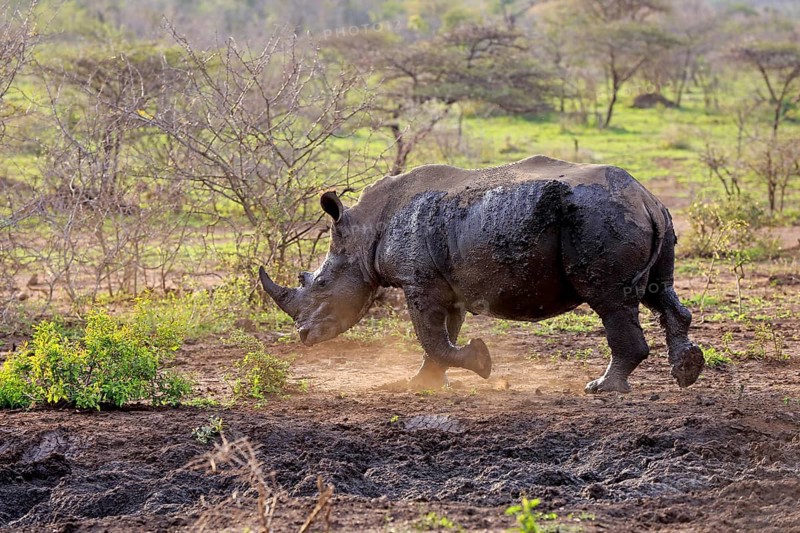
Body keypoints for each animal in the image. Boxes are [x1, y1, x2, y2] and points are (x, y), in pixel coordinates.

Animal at [259, 156, 704, 393]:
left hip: (601, 217)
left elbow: (433, 337)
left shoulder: (418, 282)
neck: (363, 230)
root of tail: (646, 198)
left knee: (610, 301)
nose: (303, 336)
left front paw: (481, 363)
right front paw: (423, 384)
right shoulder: (442, 282)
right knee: (658, 292)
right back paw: (687, 372)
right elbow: (441, 337)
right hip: (644, 216)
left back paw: (601, 389)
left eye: (320, 284)